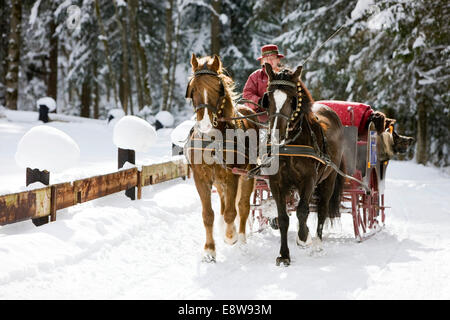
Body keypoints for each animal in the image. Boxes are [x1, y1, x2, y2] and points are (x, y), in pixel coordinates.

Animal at [185, 53, 258, 262]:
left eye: (218, 89)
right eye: (193, 89)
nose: (205, 125)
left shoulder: (232, 175)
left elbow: (232, 212)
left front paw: (230, 236)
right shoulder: (201, 178)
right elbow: (208, 215)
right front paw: (209, 250)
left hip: (248, 174)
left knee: (242, 207)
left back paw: (241, 240)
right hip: (219, 181)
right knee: (225, 205)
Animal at [260, 62, 344, 264]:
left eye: (292, 99)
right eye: (268, 98)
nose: (276, 134)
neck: (290, 145)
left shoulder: (308, 180)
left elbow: (302, 211)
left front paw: (304, 238)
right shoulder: (276, 183)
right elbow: (283, 218)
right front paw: (284, 255)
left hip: (329, 179)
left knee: (322, 209)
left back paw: (318, 244)